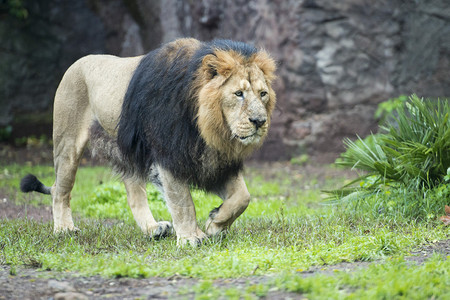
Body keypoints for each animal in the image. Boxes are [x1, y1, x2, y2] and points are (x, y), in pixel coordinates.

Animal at [20, 38, 278, 246]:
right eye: (238, 94)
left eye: (262, 94)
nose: (259, 121)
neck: (207, 128)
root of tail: (77, 63)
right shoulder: (168, 156)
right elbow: (183, 202)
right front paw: (190, 238)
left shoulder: (215, 162)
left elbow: (243, 197)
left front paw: (214, 224)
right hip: (67, 142)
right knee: (60, 190)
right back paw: (64, 229)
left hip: (127, 151)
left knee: (134, 194)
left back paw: (154, 229)